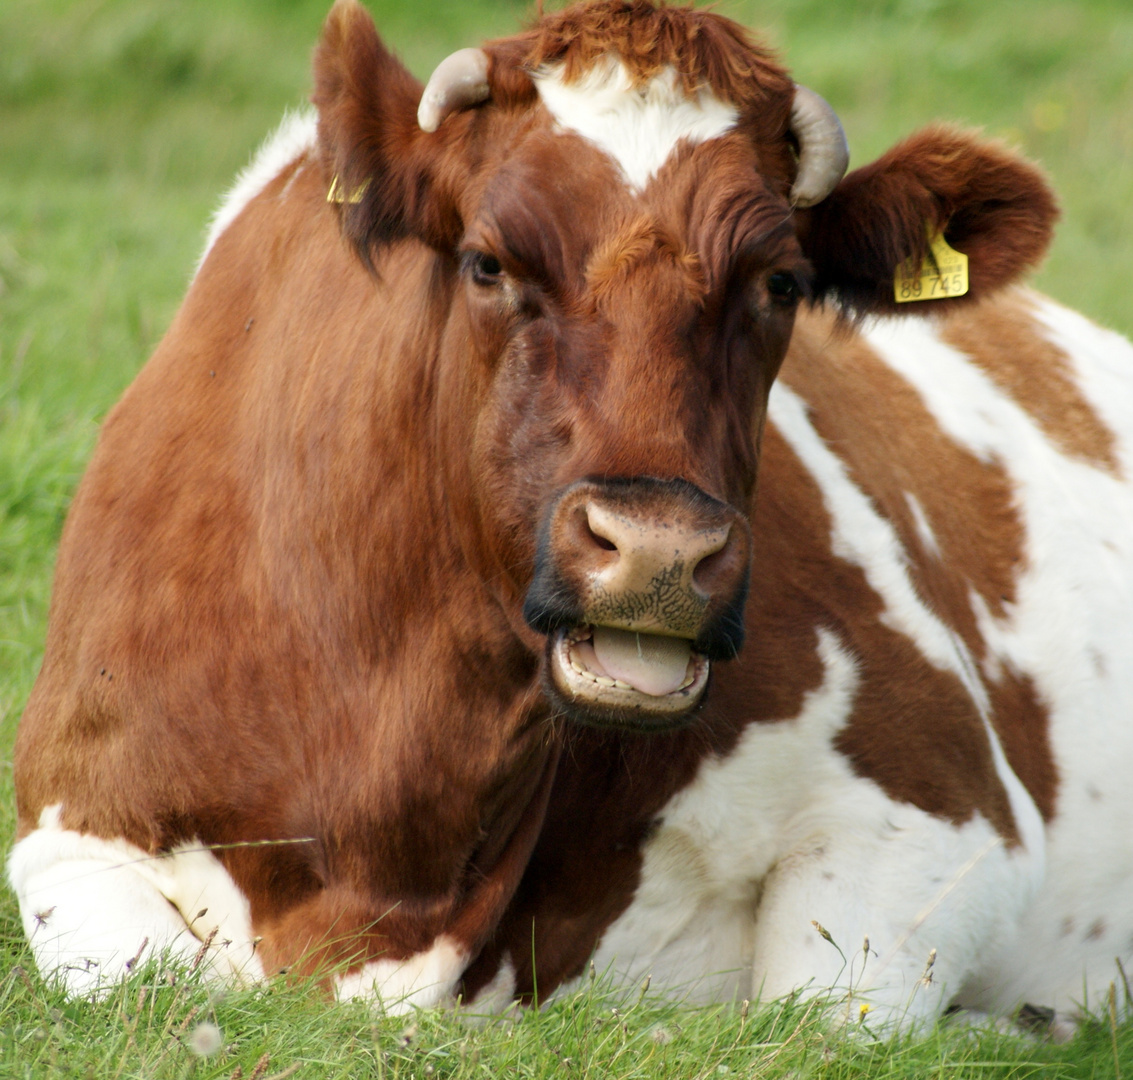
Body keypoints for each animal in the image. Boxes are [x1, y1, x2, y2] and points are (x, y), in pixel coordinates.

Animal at [8, 0, 1133, 1033]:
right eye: (488, 262)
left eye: (780, 282)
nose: (659, 553)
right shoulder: (71, 833)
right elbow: (139, 986)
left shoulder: (945, 812)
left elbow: (814, 1012)